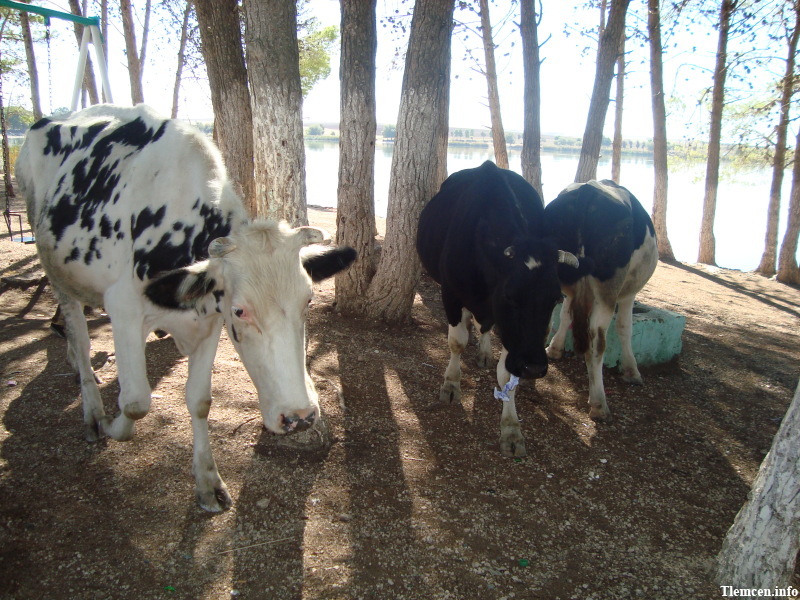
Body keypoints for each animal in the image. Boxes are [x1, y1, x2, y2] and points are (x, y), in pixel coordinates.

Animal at [14, 104, 354, 510]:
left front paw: (208, 481)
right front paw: (114, 426)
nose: (299, 416)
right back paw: (93, 412)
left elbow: (200, 401)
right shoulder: (124, 309)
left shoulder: (208, 323)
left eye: (308, 301)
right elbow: (136, 401)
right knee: (79, 338)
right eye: (240, 310)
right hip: (56, 270)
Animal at [416, 162, 580, 458]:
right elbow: (456, 342)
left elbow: (506, 375)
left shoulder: (513, 335)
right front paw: (451, 384)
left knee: (485, 326)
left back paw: (483, 351)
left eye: (555, 299)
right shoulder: (451, 294)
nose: (534, 367)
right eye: (510, 296)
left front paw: (511, 429)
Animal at [544, 178, 656, 422]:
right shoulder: (628, 294)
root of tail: (588, 190)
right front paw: (632, 371)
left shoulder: (573, 291)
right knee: (597, 342)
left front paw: (555, 349)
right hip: (608, 289)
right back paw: (599, 403)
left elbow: (566, 315)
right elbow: (624, 328)